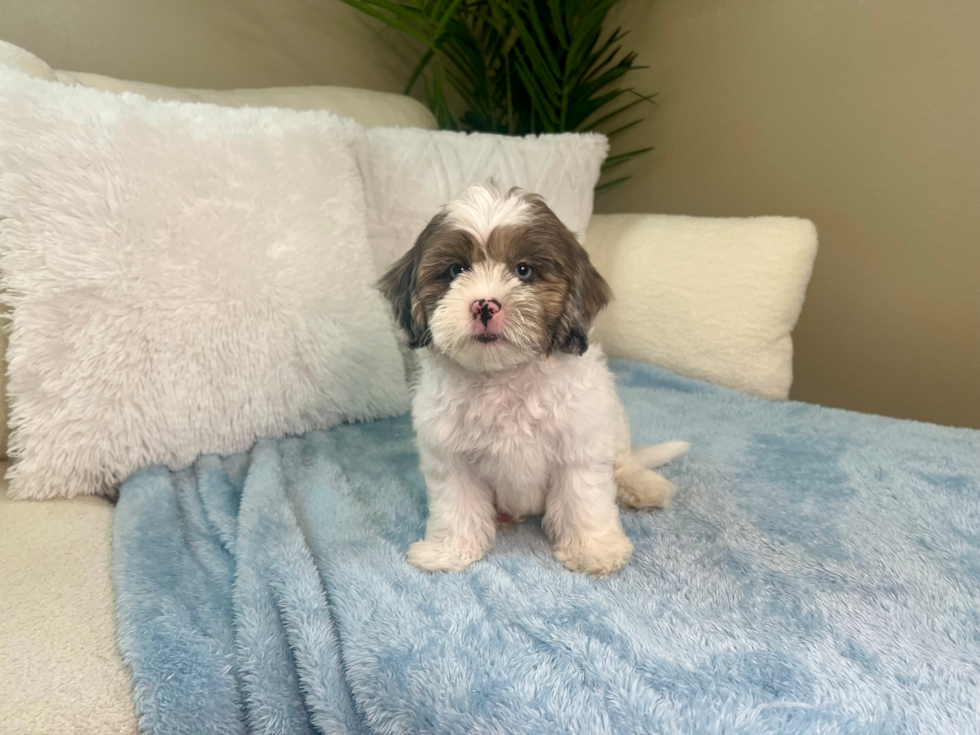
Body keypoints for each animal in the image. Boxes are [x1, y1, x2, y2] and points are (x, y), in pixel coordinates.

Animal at [376, 183, 688, 576]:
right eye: (456, 269)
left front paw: (593, 549)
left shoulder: (579, 443)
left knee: (622, 463)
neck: (504, 375)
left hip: (613, 424)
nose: (484, 305)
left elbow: (583, 498)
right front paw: (449, 550)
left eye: (523, 271)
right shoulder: (451, 454)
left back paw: (642, 487)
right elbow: (457, 505)